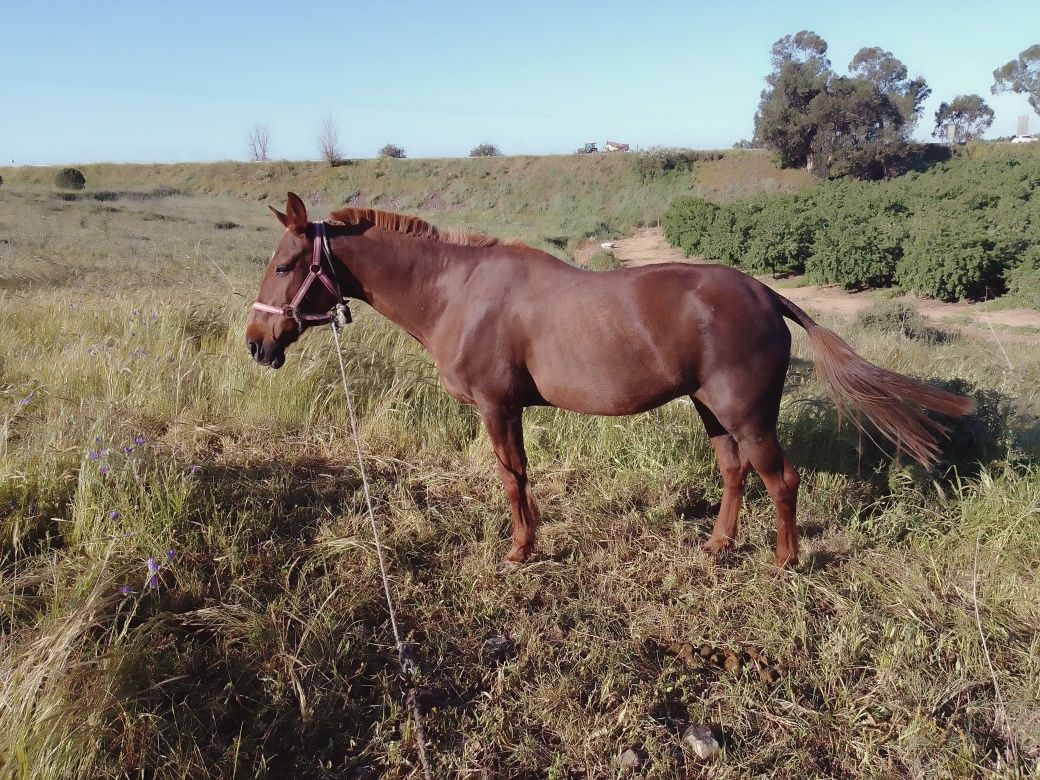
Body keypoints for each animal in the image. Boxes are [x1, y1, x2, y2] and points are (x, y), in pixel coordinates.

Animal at [245, 189, 973, 569]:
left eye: (283, 265)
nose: (256, 344)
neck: (458, 291)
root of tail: (766, 293)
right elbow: (520, 474)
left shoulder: (496, 405)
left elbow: (512, 475)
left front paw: (521, 548)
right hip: (711, 409)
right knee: (733, 472)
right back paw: (718, 543)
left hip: (746, 412)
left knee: (781, 478)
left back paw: (784, 559)